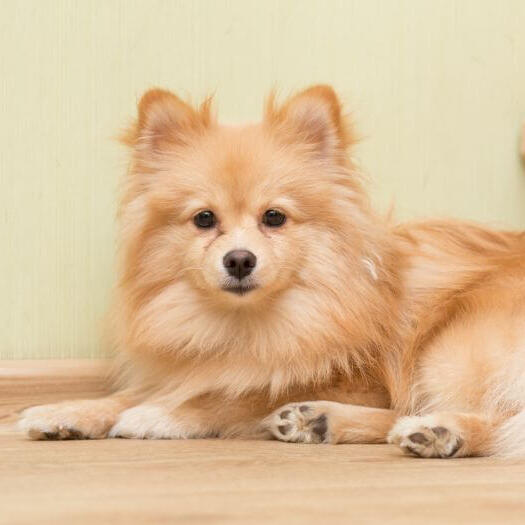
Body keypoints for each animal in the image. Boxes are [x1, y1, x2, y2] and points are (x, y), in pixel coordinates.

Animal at [18, 85, 524, 454]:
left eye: (274, 217)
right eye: (205, 219)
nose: (240, 259)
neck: (249, 328)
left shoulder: (364, 384)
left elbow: (235, 397)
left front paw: (158, 416)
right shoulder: (197, 368)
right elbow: (145, 391)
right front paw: (64, 411)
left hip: (451, 350)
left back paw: (441, 431)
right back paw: (319, 420)